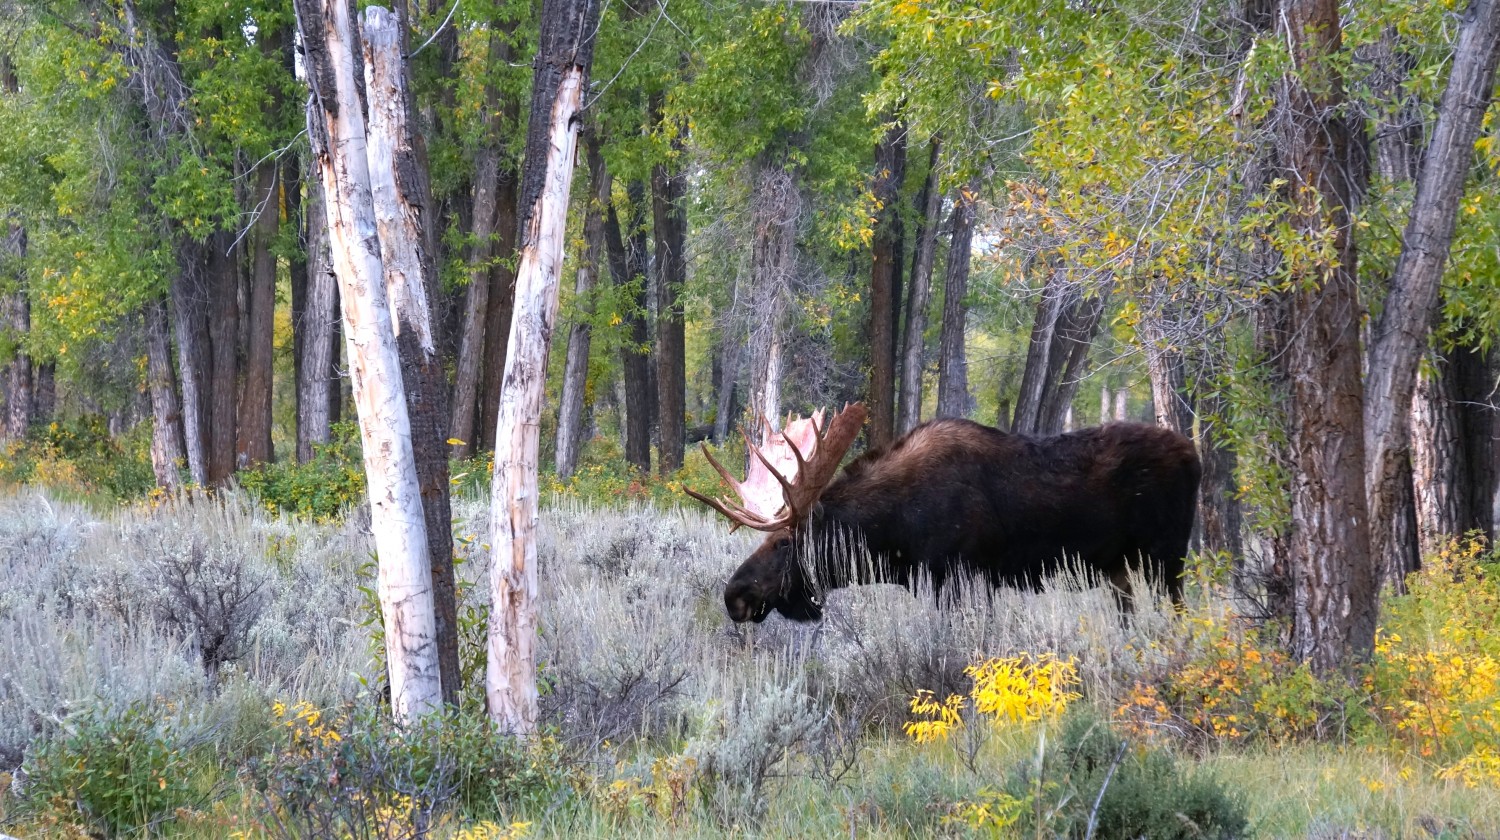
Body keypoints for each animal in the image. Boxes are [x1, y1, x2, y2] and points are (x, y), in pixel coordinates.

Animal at [687, 399, 1200, 624]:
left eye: (784, 541)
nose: (734, 594)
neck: (892, 534)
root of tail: (1195, 456)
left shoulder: (960, 578)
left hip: (1167, 559)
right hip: (1122, 570)